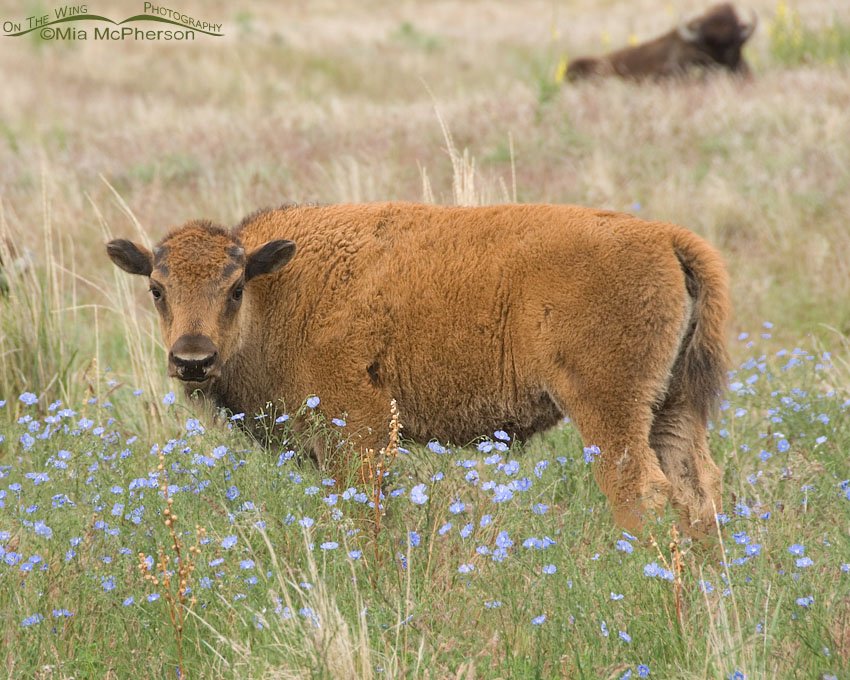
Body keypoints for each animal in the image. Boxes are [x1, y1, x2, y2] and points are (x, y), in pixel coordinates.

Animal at [107, 202, 730, 537]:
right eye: (156, 289)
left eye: (234, 289)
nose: (192, 359)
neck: (280, 287)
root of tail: (664, 236)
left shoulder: (357, 432)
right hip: (671, 406)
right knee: (698, 488)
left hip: (609, 408)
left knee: (639, 489)